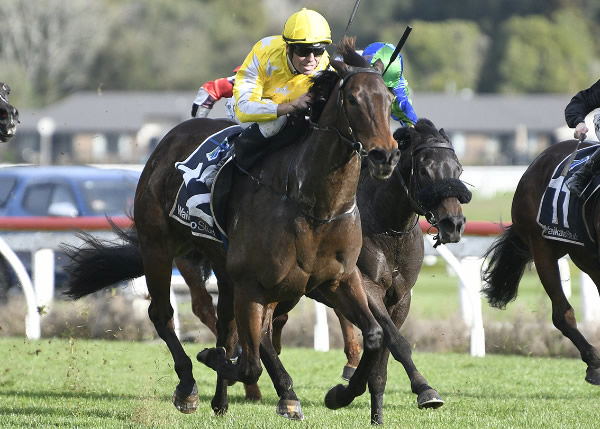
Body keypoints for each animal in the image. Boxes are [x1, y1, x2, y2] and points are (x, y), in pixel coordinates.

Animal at [64, 36, 398, 418]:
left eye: (389, 100)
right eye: (353, 99)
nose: (385, 156)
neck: (315, 206)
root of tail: (168, 140)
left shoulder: (337, 279)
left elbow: (375, 335)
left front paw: (341, 393)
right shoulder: (253, 284)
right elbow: (249, 361)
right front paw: (217, 360)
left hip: (227, 269)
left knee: (227, 323)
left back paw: (226, 398)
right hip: (158, 247)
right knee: (163, 315)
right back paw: (189, 386)